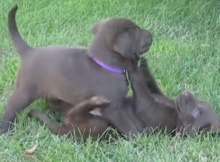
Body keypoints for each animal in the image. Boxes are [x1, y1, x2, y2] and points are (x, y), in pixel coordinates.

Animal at [0, 5, 153, 134]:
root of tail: (29, 52)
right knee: (10, 109)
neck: (104, 64)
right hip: (24, 92)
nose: (151, 33)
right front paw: (138, 137)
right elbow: (129, 127)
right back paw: (5, 130)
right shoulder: (113, 108)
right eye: (137, 31)